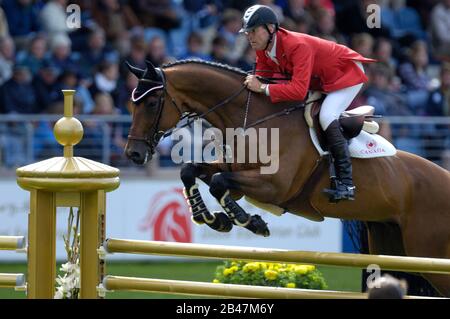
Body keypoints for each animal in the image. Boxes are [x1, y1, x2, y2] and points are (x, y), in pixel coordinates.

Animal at [124, 58, 450, 296]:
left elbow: (218, 183)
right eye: (131, 104)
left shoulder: (275, 186)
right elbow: (192, 171)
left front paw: (249, 222)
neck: (254, 117)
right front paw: (213, 219)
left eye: (151, 104)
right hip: (392, 245)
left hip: (428, 252)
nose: (133, 154)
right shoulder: (235, 172)